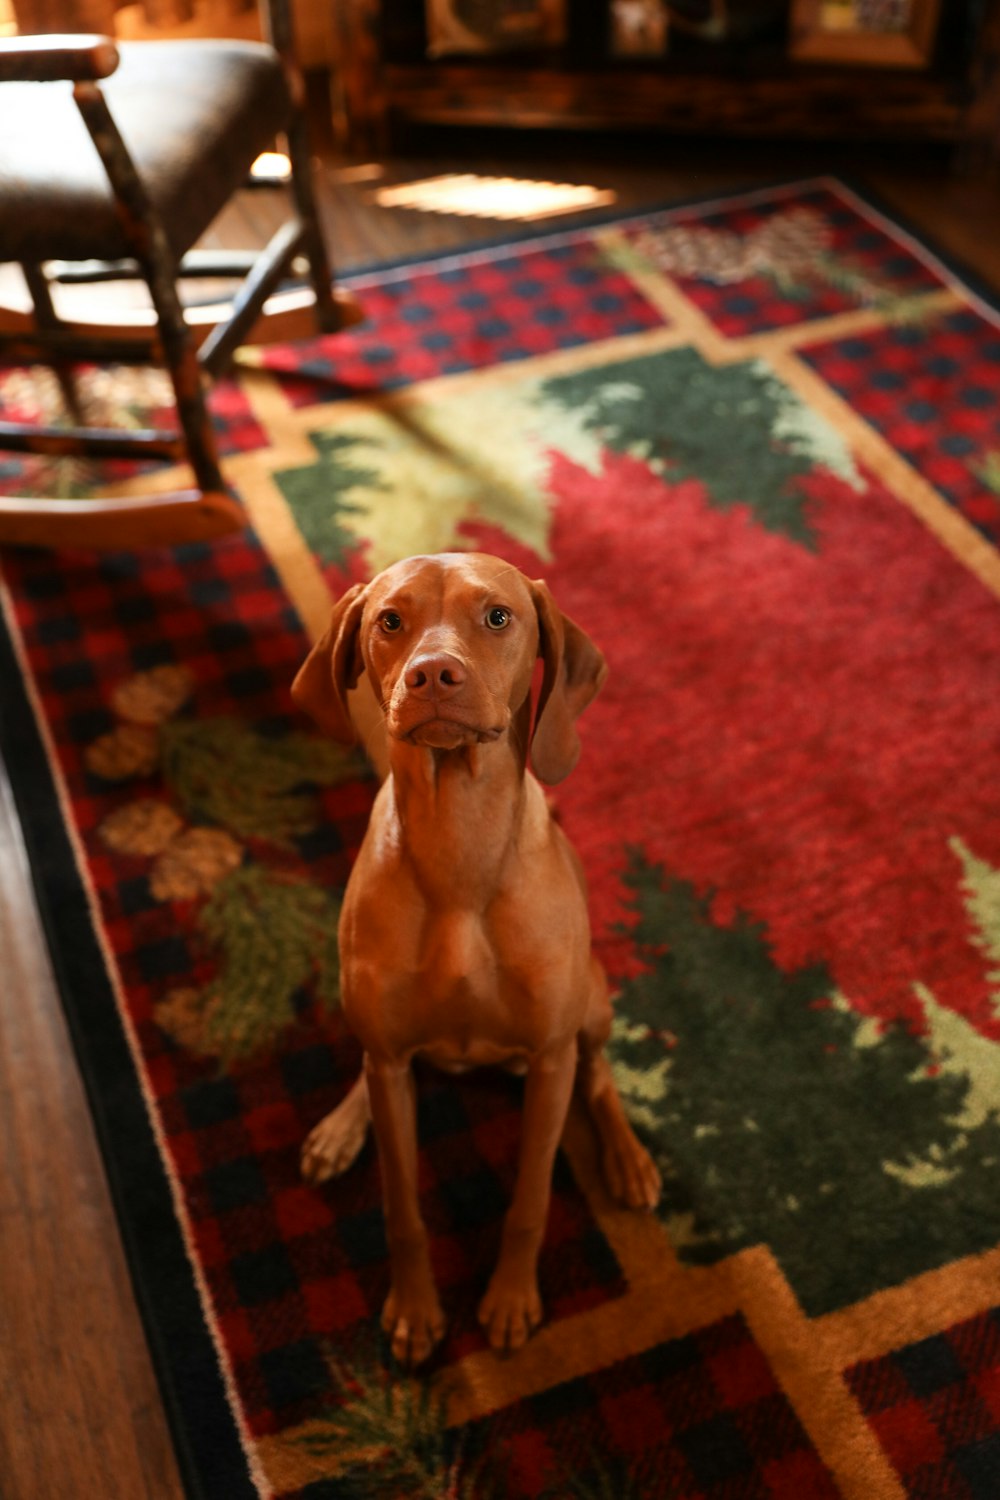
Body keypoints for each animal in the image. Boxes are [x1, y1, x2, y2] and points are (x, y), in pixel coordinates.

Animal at [293, 555, 659, 1374]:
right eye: (389, 621)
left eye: (497, 616)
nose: (433, 674)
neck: (458, 848)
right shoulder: (393, 1061)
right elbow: (402, 1207)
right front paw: (416, 1309)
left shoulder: (549, 1061)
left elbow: (530, 1199)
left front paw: (512, 1299)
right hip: (387, 1053)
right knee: (368, 1070)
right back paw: (340, 1126)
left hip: (593, 1003)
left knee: (599, 1072)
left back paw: (626, 1158)